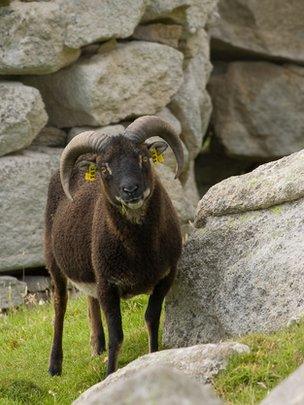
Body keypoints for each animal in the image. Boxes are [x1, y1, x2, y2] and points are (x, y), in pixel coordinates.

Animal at [44, 114, 183, 376]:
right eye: (104, 168)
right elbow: (116, 336)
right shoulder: (108, 285)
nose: (130, 190)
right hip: (53, 258)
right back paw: (55, 366)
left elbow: (151, 319)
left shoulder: (165, 277)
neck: (140, 251)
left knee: (89, 299)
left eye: (143, 157)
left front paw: (153, 356)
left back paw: (96, 346)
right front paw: (110, 374)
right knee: (60, 303)